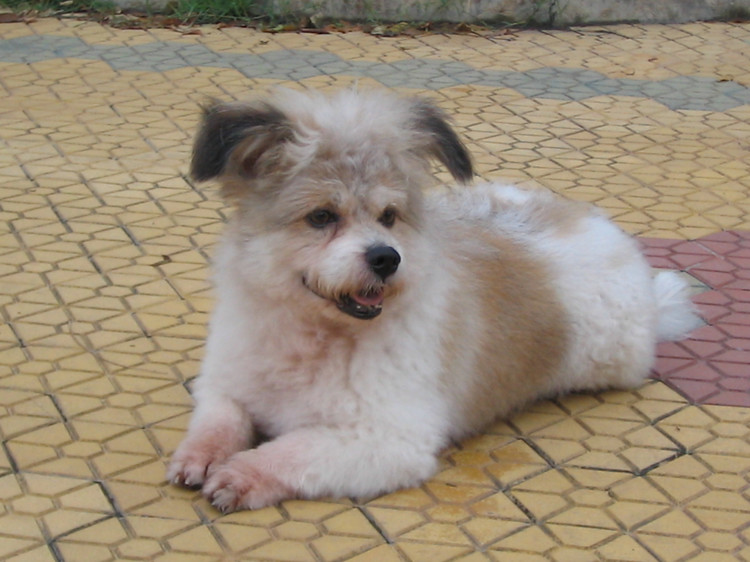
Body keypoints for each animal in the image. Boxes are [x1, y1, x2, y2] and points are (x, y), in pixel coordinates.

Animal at [167, 88, 700, 512]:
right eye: (321, 217)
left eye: (389, 215)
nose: (386, 257)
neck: (311, 338)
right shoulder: (225, 384)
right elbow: (218, 421)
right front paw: (201, 455)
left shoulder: (385, 440)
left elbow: (291, 453)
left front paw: (242, 474)